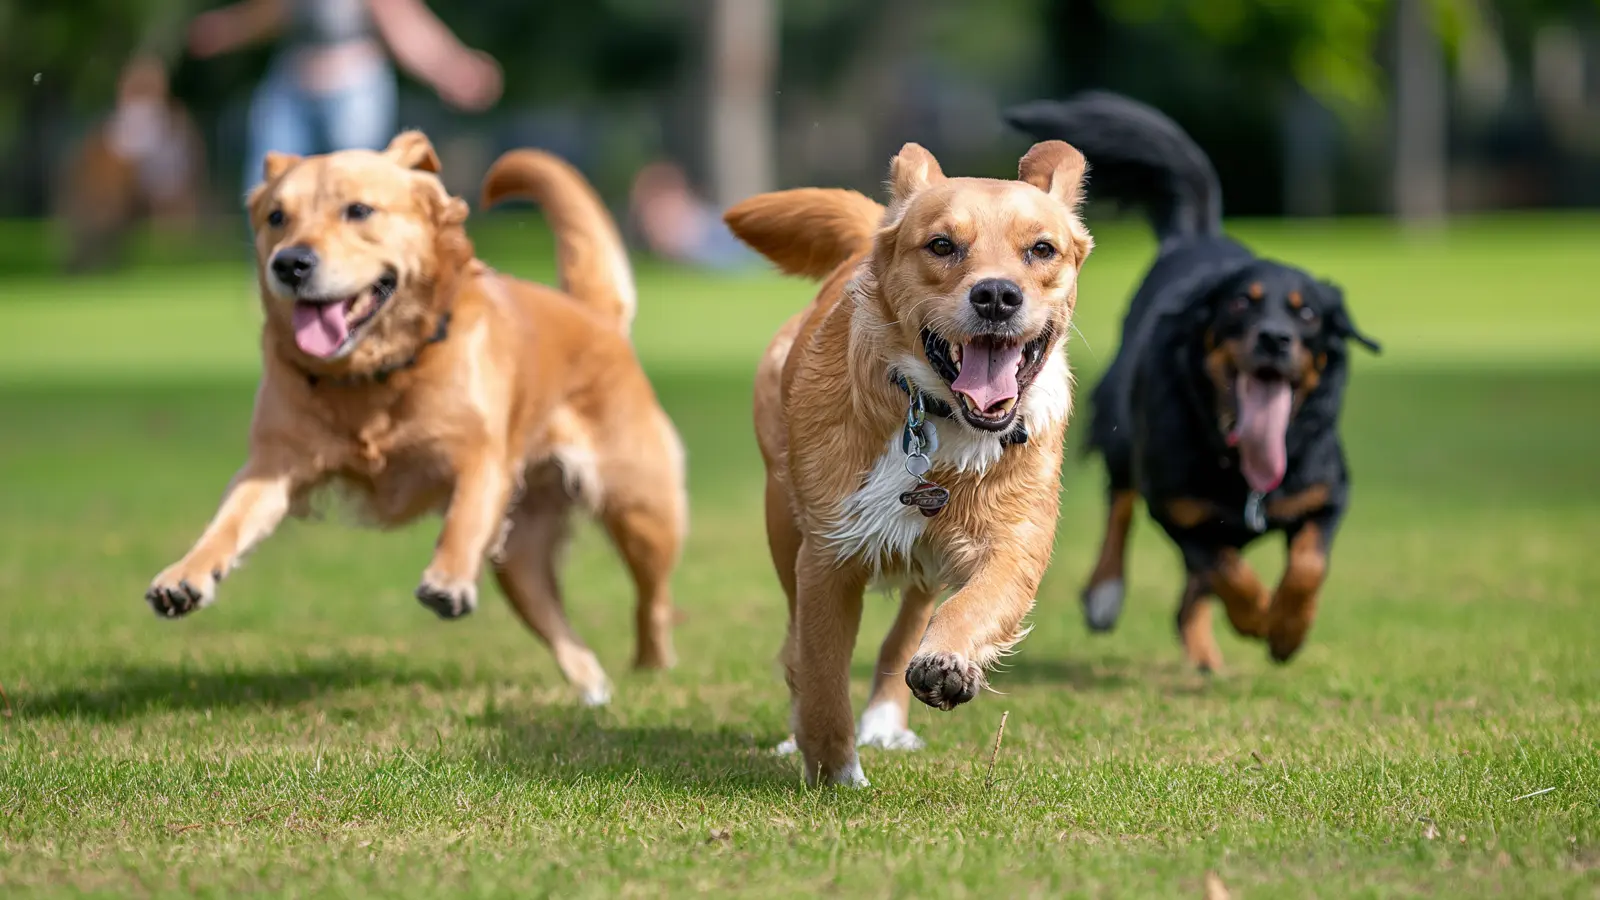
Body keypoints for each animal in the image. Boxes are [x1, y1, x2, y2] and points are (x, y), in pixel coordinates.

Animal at [151, 131, 694, 701]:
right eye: (276, 216)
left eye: (359, 210)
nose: (290, 263)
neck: (373, 376)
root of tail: (594, 315)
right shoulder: (273, 466)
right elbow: (228, 523)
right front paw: (185, 576)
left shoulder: (482, 459)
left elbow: (463, 517)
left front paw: (448, 579)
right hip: (519, 554)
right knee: (554, 617)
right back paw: (591, 684)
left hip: (642, 510)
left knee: (654, 602)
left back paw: (651, 667)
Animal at [732, 141, 1094, 784]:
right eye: (942, 245)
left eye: (1041, 249)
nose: (996, 295)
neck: (941, 419)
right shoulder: (827, 555)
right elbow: (822, 674)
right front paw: (835, 771)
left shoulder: (1015, 544)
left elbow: (975, 603)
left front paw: (946, 661)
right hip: (783, 523)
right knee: (797, 645)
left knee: (904, 630)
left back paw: (886, 718)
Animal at [1011, 92, 1376, 666]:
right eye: (1240, 303)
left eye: (1308, 314)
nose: (1276, 338)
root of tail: (1197, 236)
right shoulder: (1177, 508)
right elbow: (1227, 571)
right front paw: (1257, 617)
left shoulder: (1326, 494)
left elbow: (1307, 564)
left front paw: (1287, 629)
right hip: (1123, 424)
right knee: (1122, 500)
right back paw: (1105, 593)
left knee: (1191, 594)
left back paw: (1204, 651)